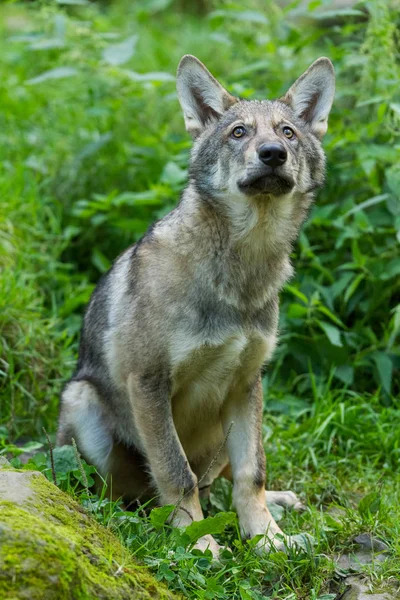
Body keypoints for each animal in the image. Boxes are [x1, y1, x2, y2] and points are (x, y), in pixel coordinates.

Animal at [57, 54, 334, 556]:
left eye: (287, 132)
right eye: (238, 132)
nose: (272, 154)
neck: (241, 272)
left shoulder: (246, 382)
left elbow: (251, 474)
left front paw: (267, 538)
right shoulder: (148, 383)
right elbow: (175, 472)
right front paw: (198, 543)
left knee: (218, 481)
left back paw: (281, 502)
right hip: (84, 406)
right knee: (124, 494)